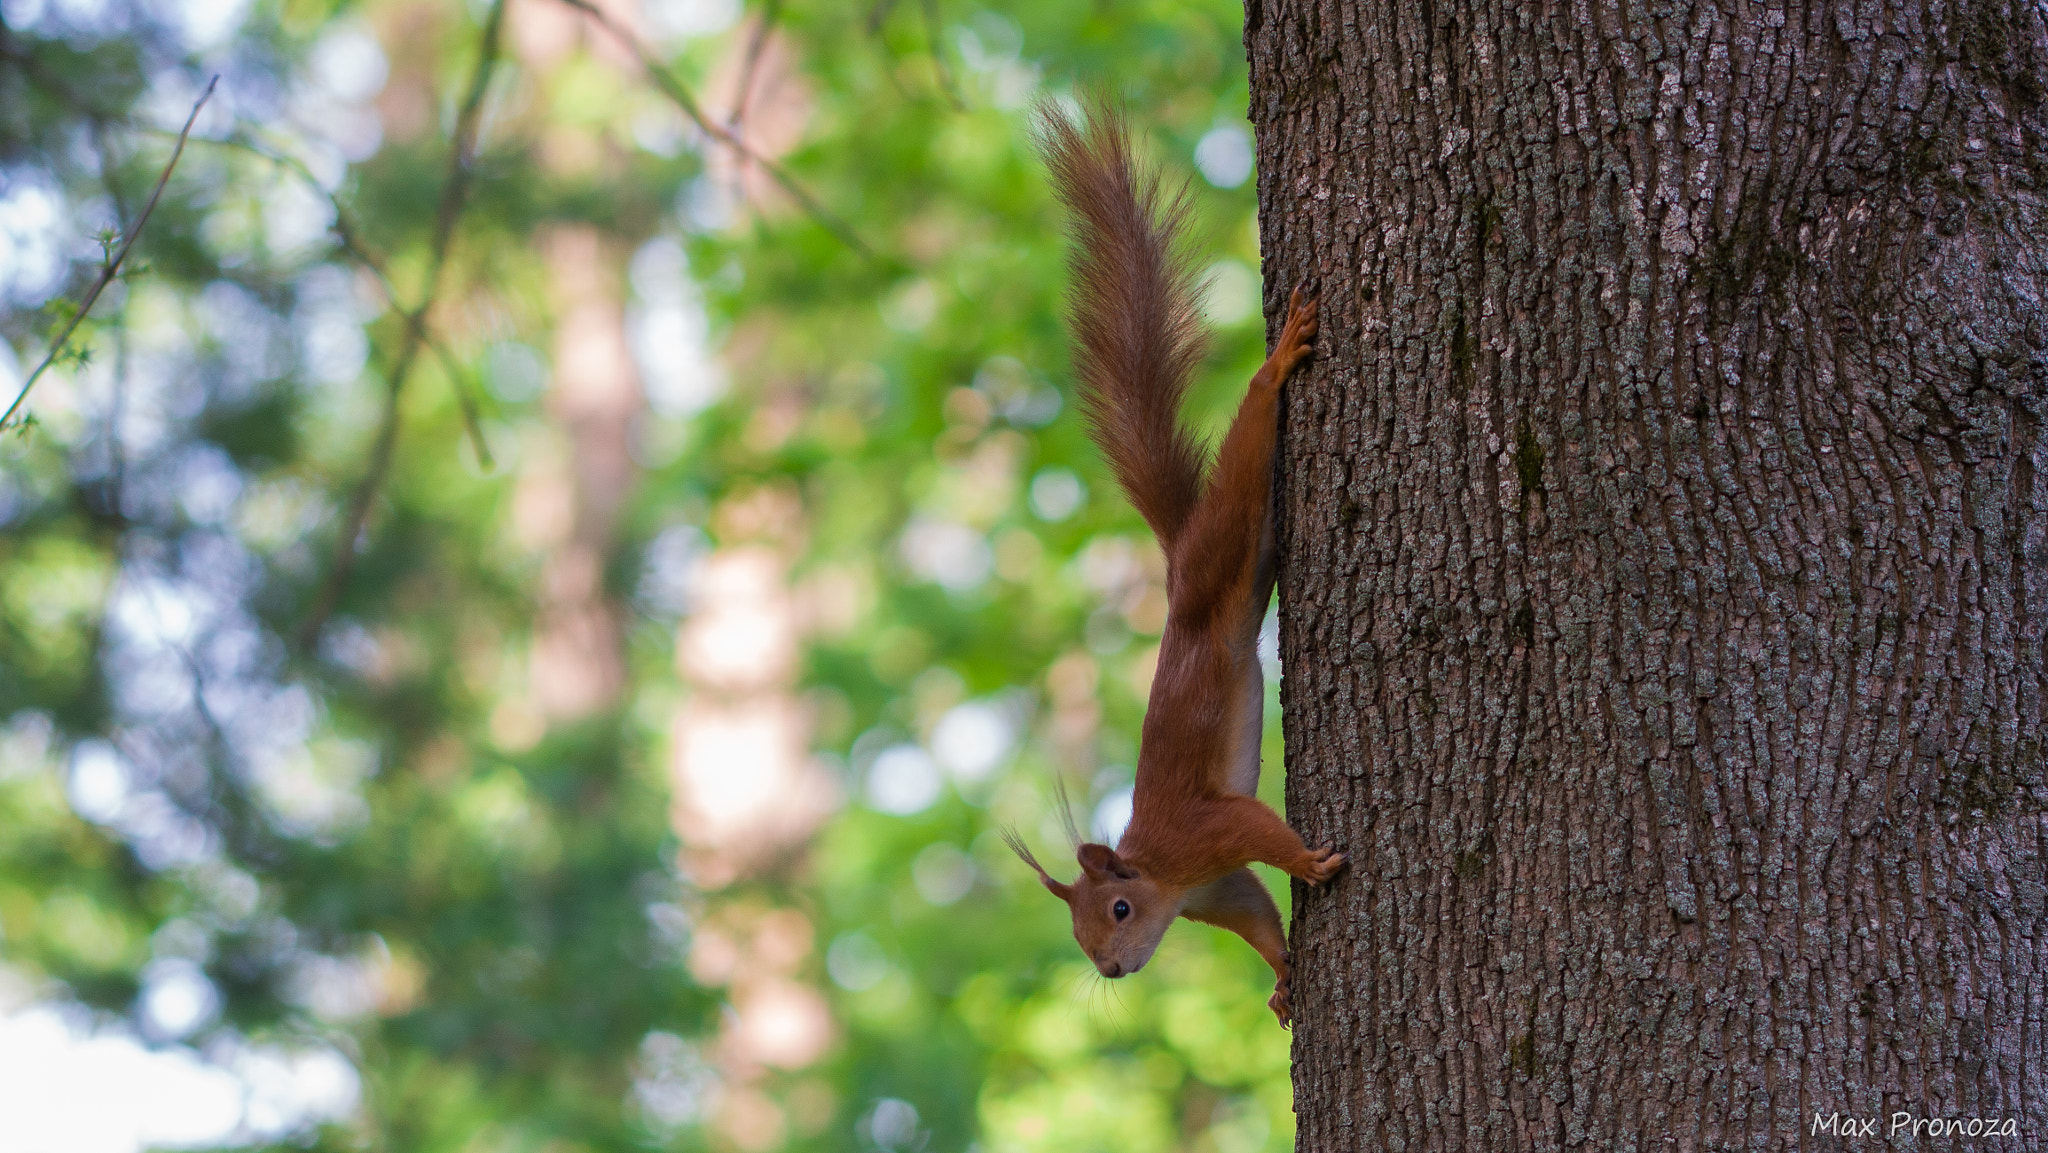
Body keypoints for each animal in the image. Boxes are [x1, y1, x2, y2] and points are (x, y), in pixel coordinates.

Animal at [1007, 103, 1343, 1028]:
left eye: (1119, 909)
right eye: (1081, 935)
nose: (1115, 969)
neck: (1164, 872)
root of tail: (1177, 563)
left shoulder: (1209, 832)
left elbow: (1264, 830)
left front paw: (1310, 863)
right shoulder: (1216, 889)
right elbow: (1257, 916)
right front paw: (1283, 979)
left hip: (1224, 539)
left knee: (1249, 447)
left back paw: (1279, 361)